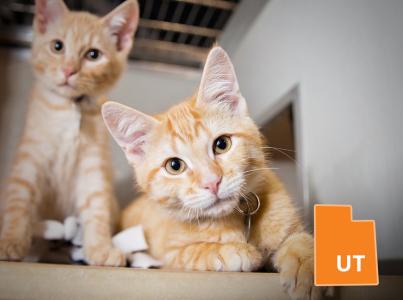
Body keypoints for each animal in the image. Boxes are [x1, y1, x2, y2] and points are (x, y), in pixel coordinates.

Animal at [0, 0, 139, 268]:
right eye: (57, 46)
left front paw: (100, 248)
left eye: (93, 55)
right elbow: (19, 201)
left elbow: (96, 203)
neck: (69, 108)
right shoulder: (30, 157)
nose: (68, 70)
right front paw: (10, 241)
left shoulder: (92, 164)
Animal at [102, 47, 330, 298]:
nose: (212, 182)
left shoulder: (290, 227)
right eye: (174, 166)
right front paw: (229, 250)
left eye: (222, 144)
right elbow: (193, 252)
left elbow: (300, 240)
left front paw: (306, 265)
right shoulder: (169, 254)